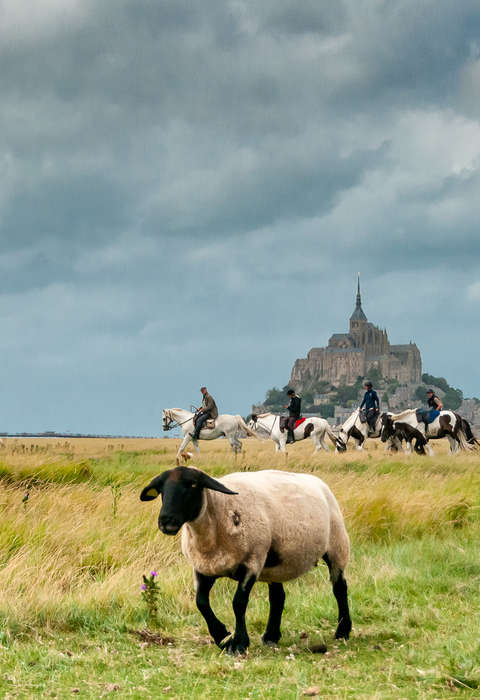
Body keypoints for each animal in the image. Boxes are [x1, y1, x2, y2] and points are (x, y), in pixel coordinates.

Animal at [141, 468, 350, 652]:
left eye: (193, 484)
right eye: (161, 489)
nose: (166, 521)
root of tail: (318, 482)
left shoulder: (252, 562)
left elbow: (238, 603)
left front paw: (239, 643)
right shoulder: (203, 568)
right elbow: (201, 602)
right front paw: (222, 636)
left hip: (337, 545)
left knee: (339, 588)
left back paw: (343, 631)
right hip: (275, 564)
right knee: (278, 597)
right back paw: (271, 636)